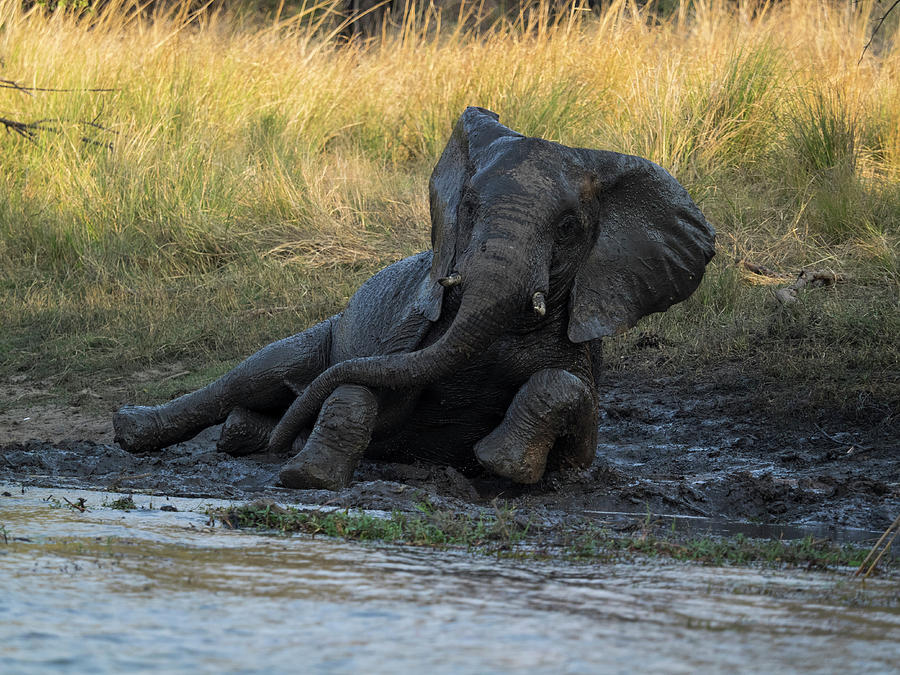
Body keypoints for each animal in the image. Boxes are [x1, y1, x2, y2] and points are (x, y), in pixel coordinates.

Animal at [114, 105, 716, 488]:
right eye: (468, 207)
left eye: (569, 228)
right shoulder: (408, 332)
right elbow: (366, 382)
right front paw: (306, 477)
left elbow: (570, 398)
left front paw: (501, 465)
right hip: (326, 331)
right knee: (259, 372)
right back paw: (136, 429)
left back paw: (246, 436)